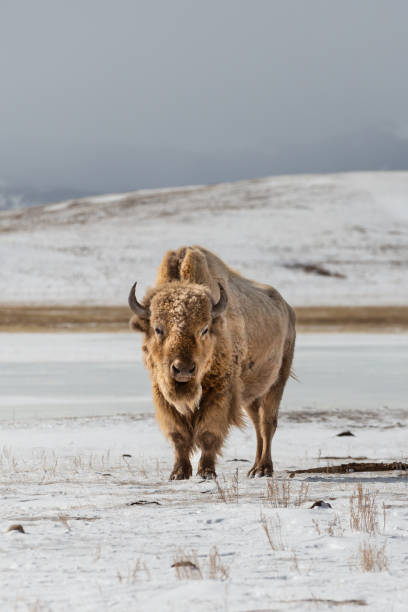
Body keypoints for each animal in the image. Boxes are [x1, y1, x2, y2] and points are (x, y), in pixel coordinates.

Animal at [127, 246, 294, 480]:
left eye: (204, 329)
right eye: (158, 329)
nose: (183, 369)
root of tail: (287, 309)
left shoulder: (220, 393)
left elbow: (208, 433)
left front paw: (206, 472)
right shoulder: (162, 394)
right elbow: (178, 435)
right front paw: (178, 473)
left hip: (277, 382)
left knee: (267, 424)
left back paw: (263, 469)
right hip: (251, 397)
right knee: (257, 426)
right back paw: (254, 469)